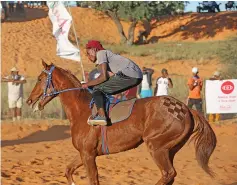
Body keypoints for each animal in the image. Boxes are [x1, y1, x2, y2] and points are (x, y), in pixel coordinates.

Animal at [26, 61, 217, 185]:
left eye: (39, 79)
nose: (29, 100)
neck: (81, 109)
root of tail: (186, 109)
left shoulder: (88, 155)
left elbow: (93, 180)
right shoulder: (84, 153)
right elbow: (68, 170)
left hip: (157, 147)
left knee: (168, 174)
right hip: (169, 149)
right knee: (170, 175)